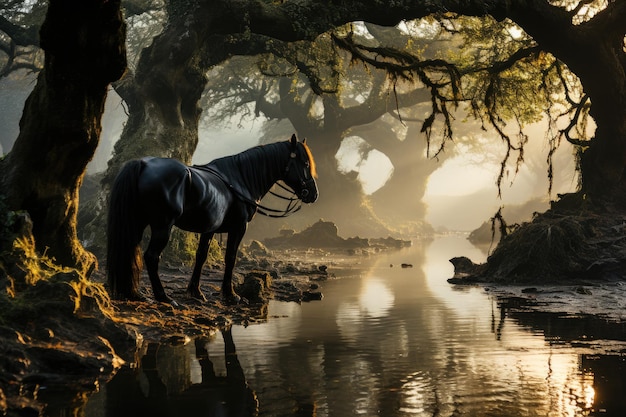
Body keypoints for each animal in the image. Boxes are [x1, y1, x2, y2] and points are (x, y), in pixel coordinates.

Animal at [105, 135, 316, 304]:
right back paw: (163, 297)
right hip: (162, 226)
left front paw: (195, 292)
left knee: (130, 250)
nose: (313, 194)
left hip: (138, 223)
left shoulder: (209, 230)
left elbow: (201, 257)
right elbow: (230, 258)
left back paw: (134, 294)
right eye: (305, 164)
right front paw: (230, 295)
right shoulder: (239, 228)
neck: (239, 179)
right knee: (151, 256)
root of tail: (144, 164)